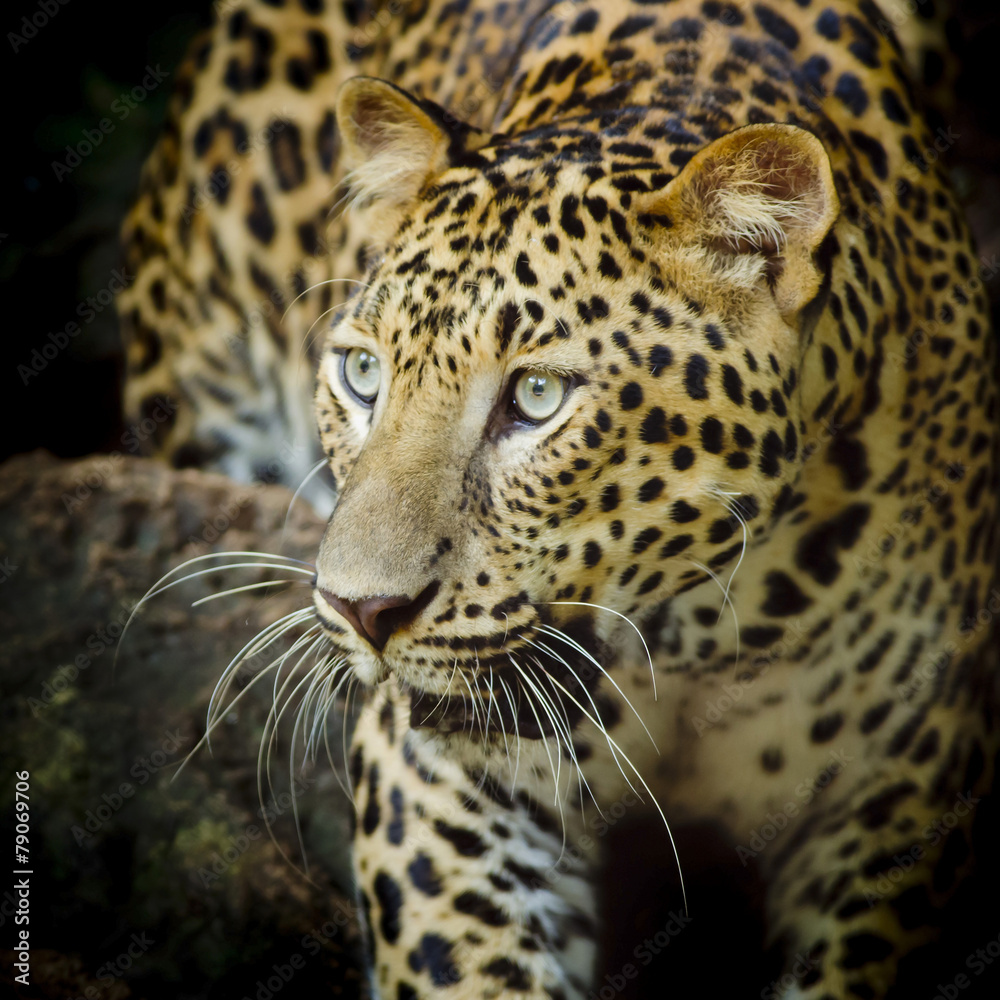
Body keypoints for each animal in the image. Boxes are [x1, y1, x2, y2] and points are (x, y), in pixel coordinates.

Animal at [117, 1, 999, 998]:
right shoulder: (434, 783)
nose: (359, 610)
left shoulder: (899, 802)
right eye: (362, 374)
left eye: (536, 398)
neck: (707, 636)